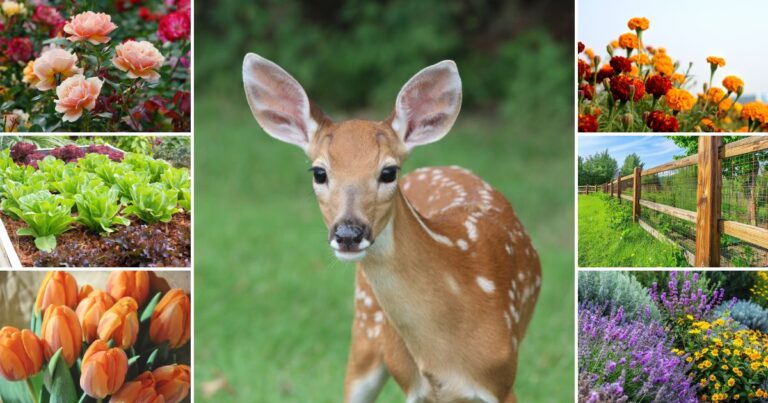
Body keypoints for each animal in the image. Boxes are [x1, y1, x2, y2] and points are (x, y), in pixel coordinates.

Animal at [242, 53, 541, 403]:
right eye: (319, 172)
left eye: (388, 172)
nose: (348, 234)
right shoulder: (414, 387)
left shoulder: (502, 380)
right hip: (365, 328)